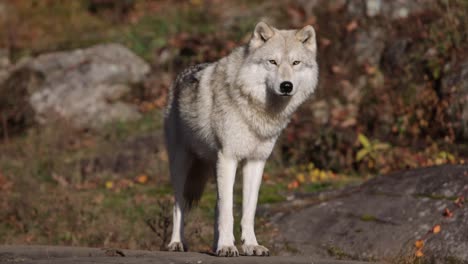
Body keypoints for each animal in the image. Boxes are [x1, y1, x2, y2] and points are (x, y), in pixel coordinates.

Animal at [164, 21, 318, 256]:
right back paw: (176, 243)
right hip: (182, 165)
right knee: (178, 204)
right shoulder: (229, 158)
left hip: (213, 166)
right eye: (272, 62)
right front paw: (228, 246)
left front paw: (250, 245)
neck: (259, 109)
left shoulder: (256, 162)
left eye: (295, 62)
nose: (286, 86)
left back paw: (214, 246)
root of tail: (180, 75)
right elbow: (228, 209)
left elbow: (248, 210)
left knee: (217, 205)